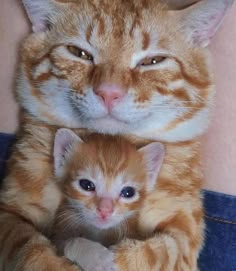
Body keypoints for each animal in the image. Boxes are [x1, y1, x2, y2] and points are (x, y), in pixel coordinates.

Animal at [50, 128, 164, 271]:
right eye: (86, 185)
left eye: (128, 192)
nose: (105, 210)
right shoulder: (57, 238)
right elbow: (69, 242)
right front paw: (96, 257)